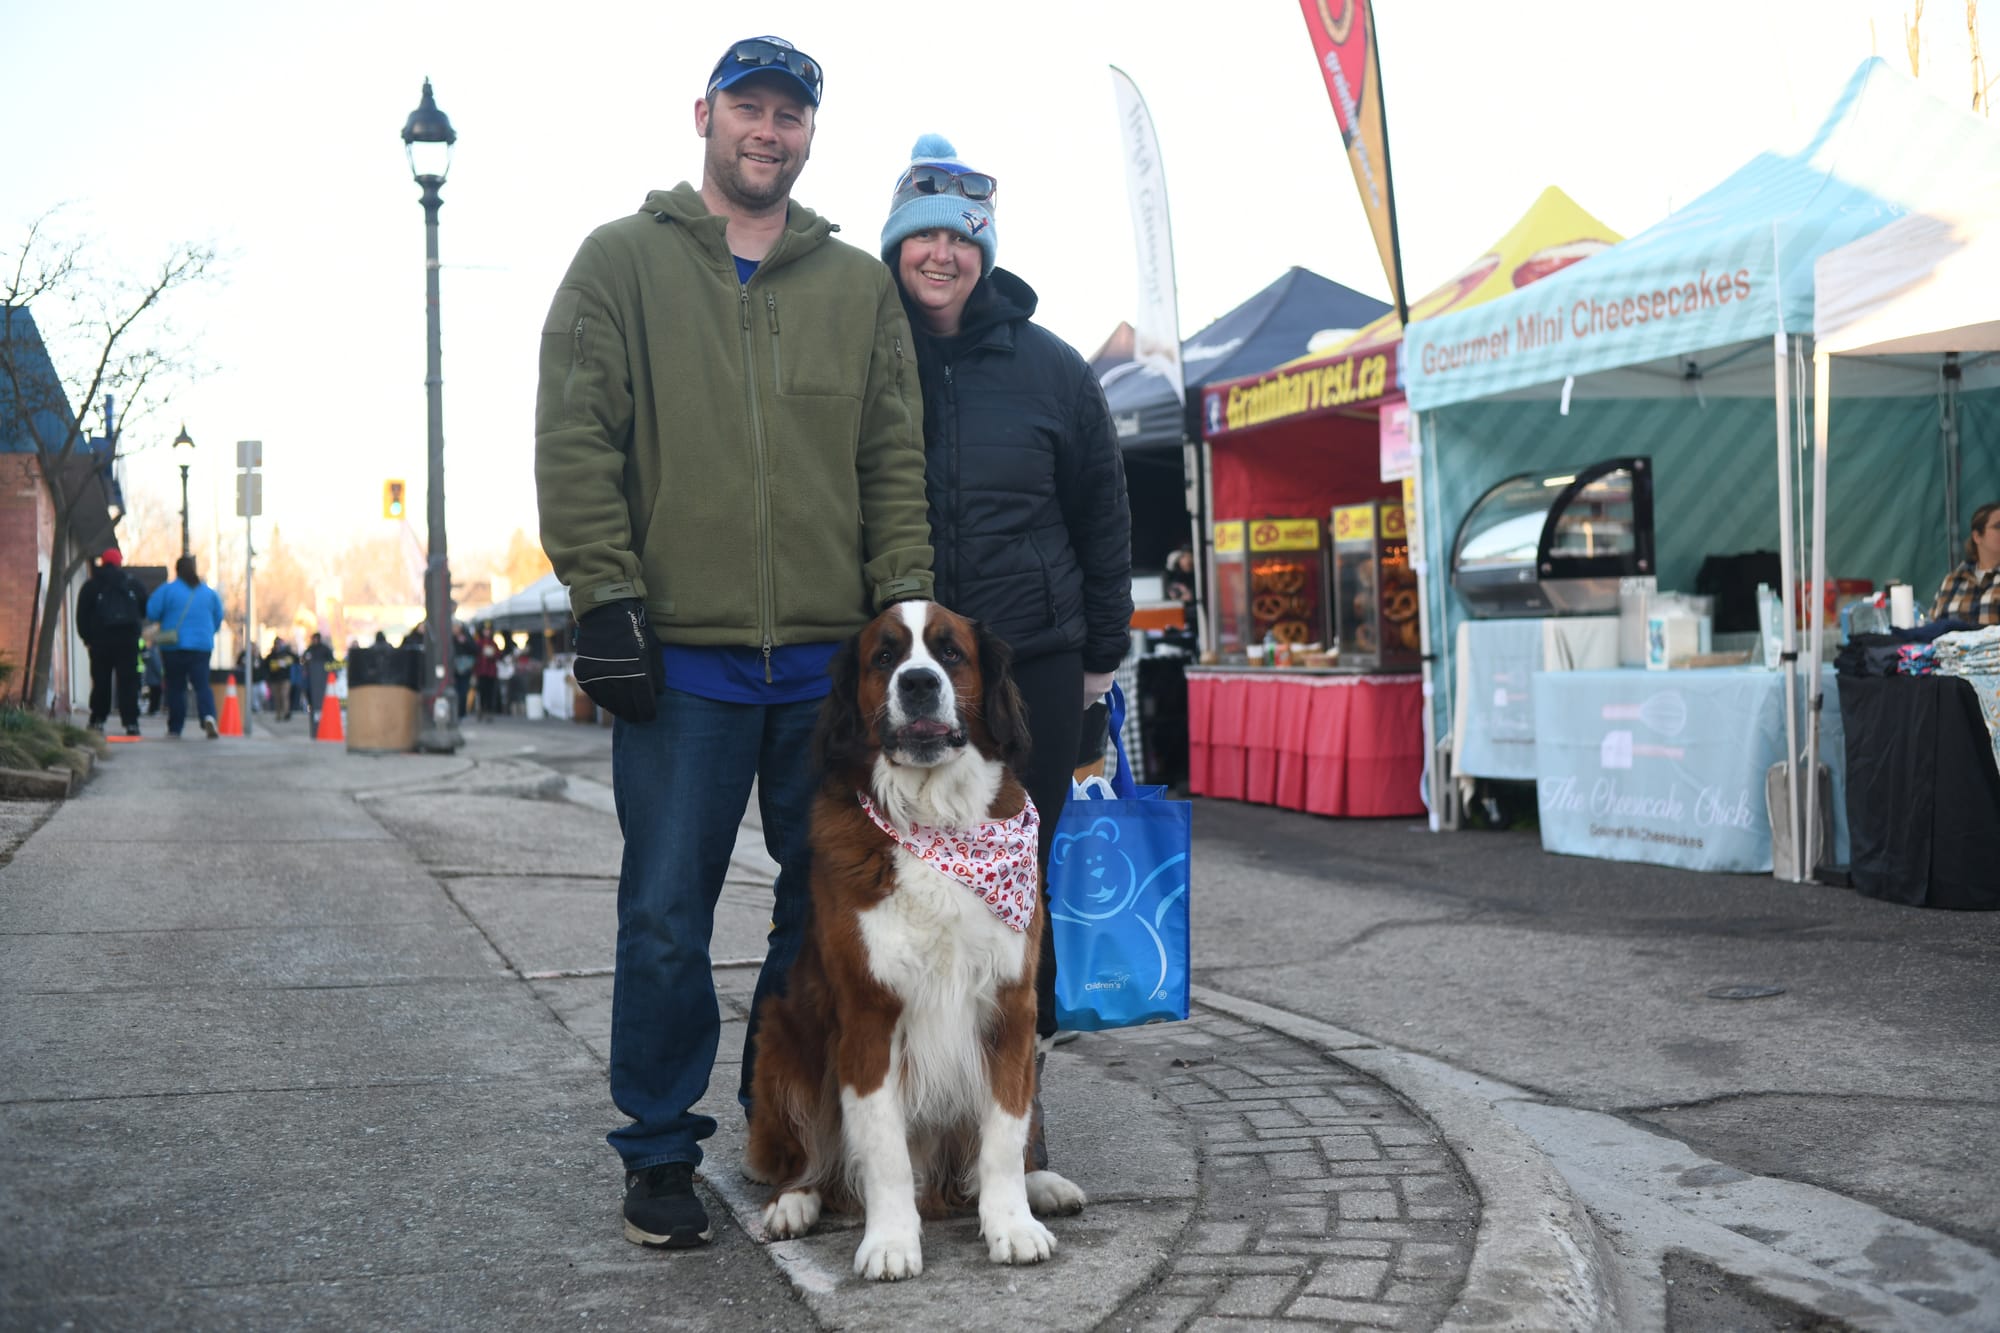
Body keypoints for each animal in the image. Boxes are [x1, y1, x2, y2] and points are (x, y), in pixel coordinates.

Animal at [745, 600, 1086, 1280]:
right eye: (885, 657)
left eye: (950, 652)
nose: (920, 683)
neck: (937, 819)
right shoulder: (870, 1014)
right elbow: (883, 1150)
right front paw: (890, 1241)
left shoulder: (1011, 1006)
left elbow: (1005, 1135)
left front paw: (1011, 1225)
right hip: (785, 1042)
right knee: (807, 1159)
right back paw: (795, 1204)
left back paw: (1042, 1186)